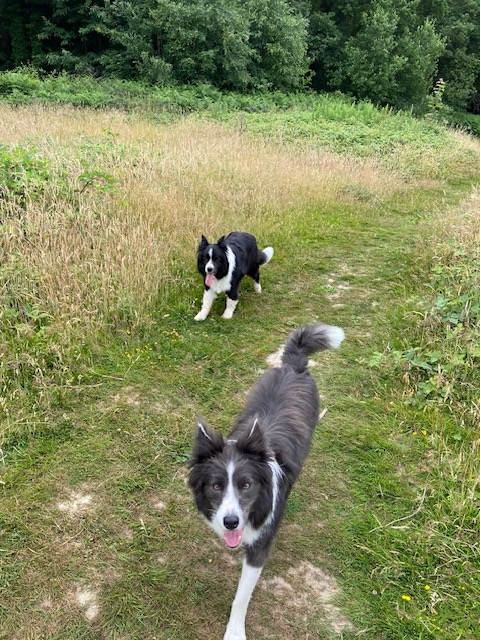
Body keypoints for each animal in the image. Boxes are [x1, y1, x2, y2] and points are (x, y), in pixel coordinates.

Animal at [188, 322, 344, 636]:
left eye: (246, 485)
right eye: (216, 486)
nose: (230, 522)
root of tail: (294, 366)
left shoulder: (260, 546)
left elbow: (241, 597)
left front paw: (235, 632)